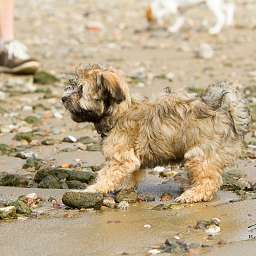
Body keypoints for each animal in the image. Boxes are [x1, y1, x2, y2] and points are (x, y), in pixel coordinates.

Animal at [62, 65, 250, 203]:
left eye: (80, 90)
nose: (63, 98)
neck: (118, 113)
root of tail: (227, 112)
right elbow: (132, 173)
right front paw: (124, 186)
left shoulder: (120, 159)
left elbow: (107, 175)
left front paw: (92, 190)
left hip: (199, 156)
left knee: (209, 181)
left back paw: (191, 195)